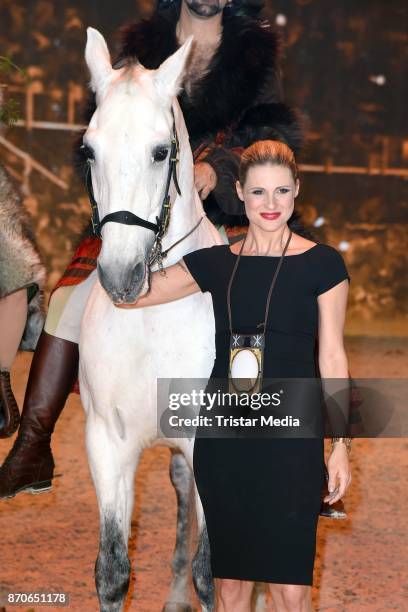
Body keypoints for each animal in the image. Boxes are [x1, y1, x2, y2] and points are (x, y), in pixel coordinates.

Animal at [78, 26, 225, 608]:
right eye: (89, 150)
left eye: (161, 151)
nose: (121, 275)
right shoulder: (108, 445)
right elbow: (113, 570)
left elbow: (212, 573)